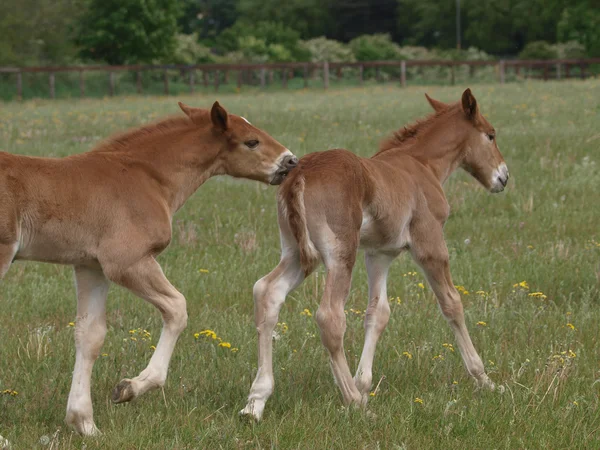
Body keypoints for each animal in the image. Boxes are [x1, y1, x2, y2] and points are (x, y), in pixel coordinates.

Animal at [1, 100, 296, 434]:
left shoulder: (91, 266)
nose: (290, 161)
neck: (148, 177)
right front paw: (131, 387)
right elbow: (177, 308)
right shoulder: (127, 262)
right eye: (251, 142)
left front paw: (85, 423)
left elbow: (90, 335)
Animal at [241, 89, 508, 422]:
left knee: (267, 291)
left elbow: (378, 313)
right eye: (490, 135)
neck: (421, 165)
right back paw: (353, 403)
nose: (503, 177)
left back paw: (256, 401)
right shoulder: (430, 243)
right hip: (340, 253)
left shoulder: (379, 254)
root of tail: (300, 173)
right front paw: (485, 380)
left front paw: (364, 385)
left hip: (296, 252)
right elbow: (451, 303)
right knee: (330, 316)